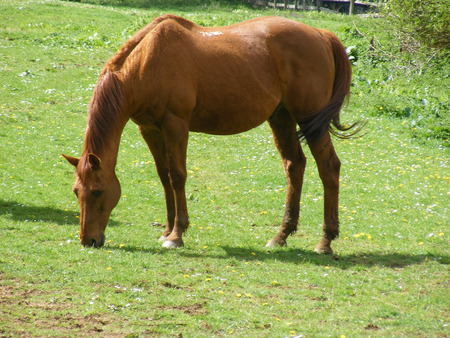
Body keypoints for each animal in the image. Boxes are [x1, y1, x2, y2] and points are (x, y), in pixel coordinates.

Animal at [63, 14, 358, 255]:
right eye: (77, 191)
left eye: (98, 192)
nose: (88, 240)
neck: (146, 61)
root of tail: (320, 34)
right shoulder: (149, 129)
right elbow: (163, 176)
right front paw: (166, 230)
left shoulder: (175, 125)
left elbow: (177, 175)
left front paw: (176, 235)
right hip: (281, 118)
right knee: (294, 166)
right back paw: (281, 236)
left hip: (310, 121)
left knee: (329, 168)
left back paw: (325, 241)